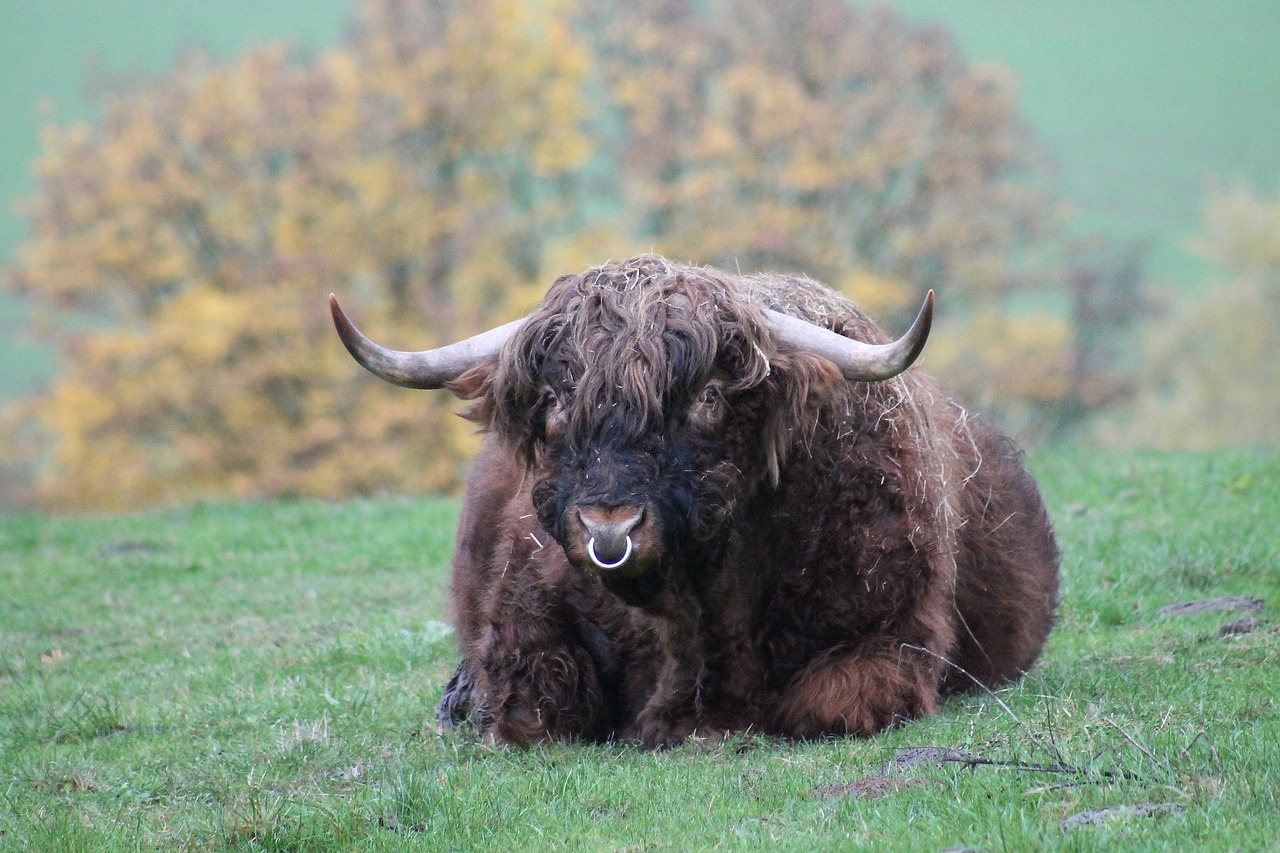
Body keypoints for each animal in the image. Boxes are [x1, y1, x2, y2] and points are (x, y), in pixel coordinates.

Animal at [332, 252, 1059, 742]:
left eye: (707, 397)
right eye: (556, 400)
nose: (610, 527)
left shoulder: (893, 641)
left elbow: (825, 704)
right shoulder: (521, 635)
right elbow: (537, 708)